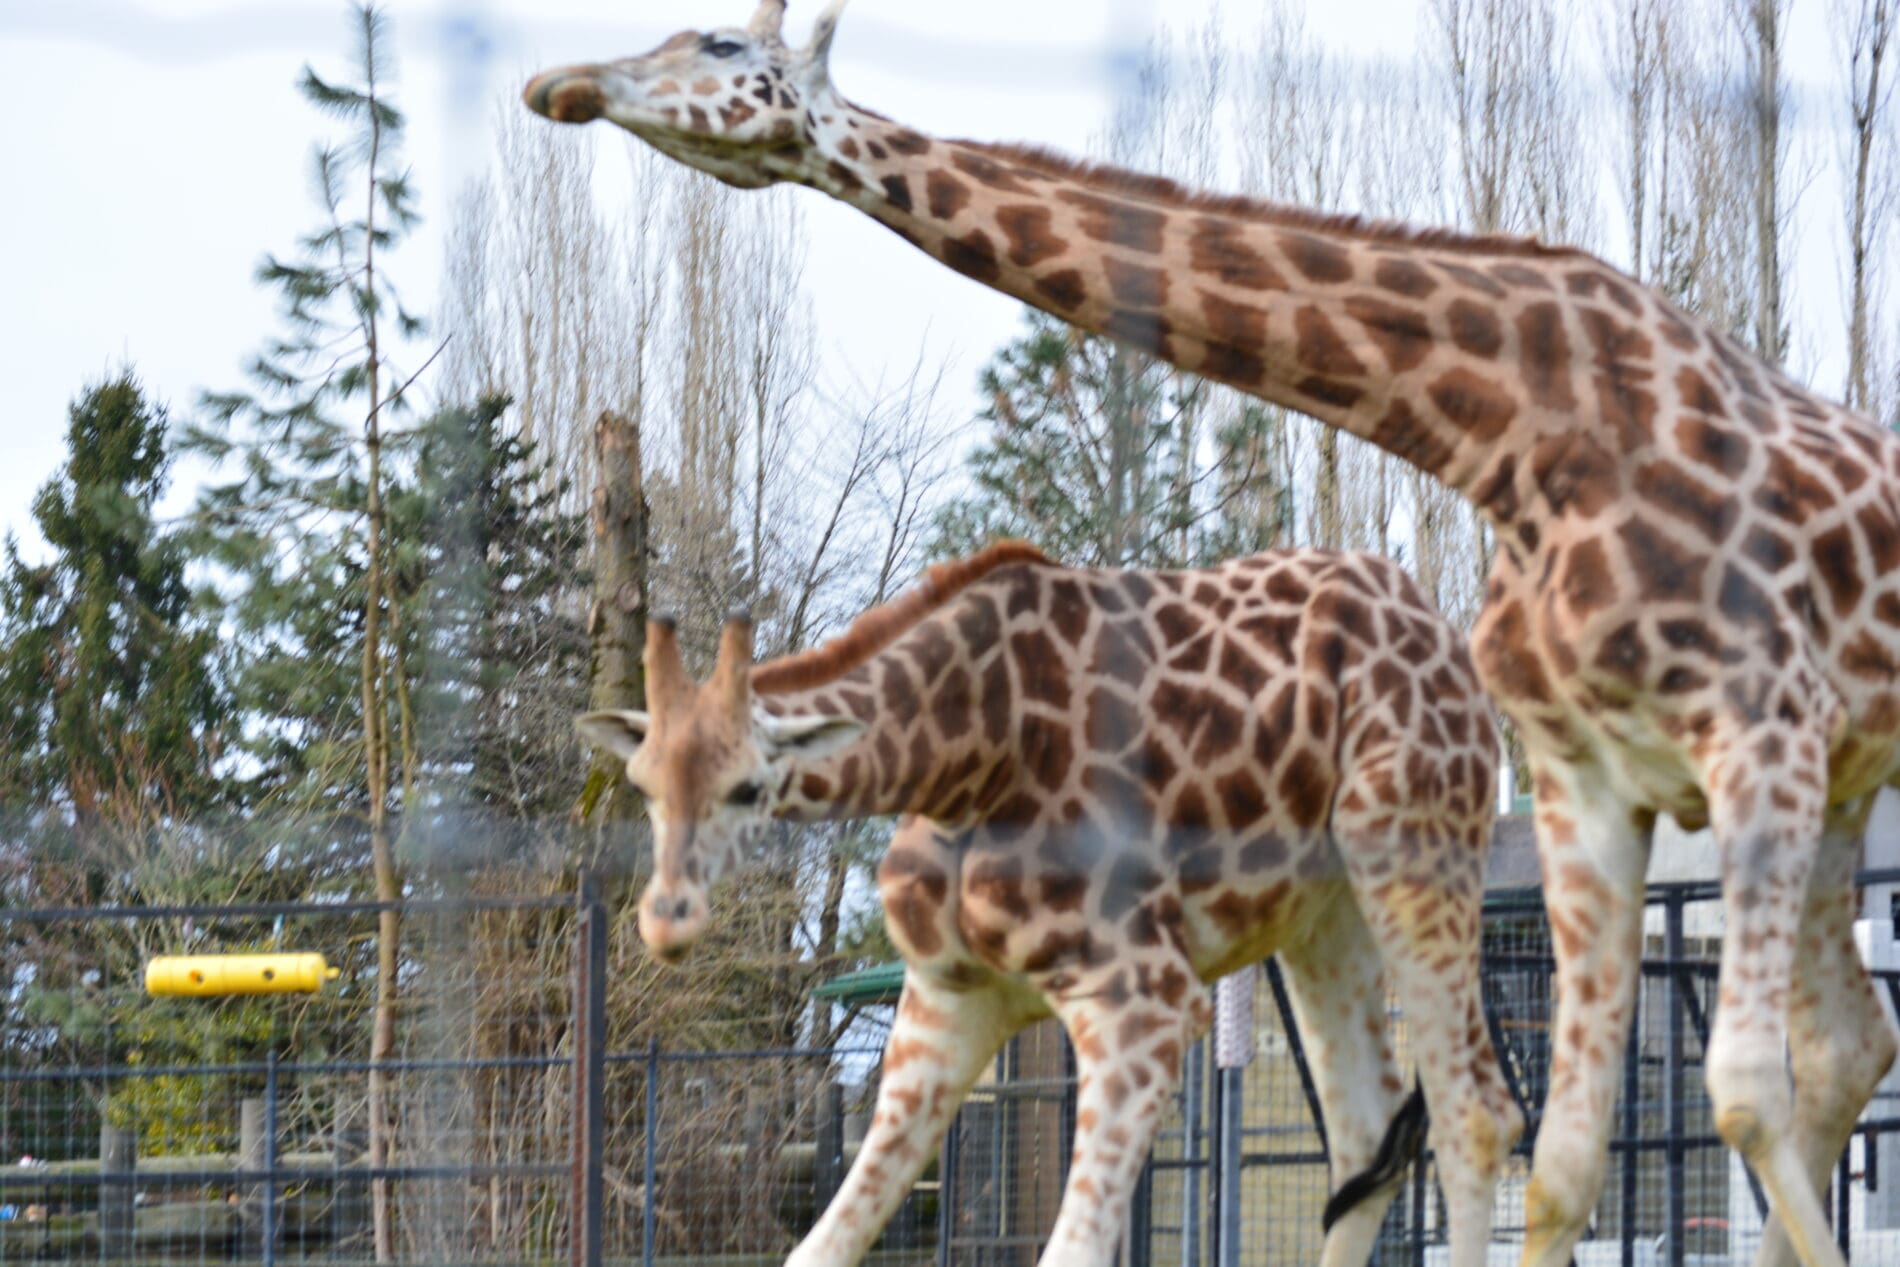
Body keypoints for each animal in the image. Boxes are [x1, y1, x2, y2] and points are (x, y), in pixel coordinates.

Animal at [570, 543, 1520, 1267]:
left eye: (748, 787)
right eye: (641, 783)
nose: (666, 920)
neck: (969, 753)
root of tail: (1438, 623)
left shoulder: (1145, 996)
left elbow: (1072, 1250)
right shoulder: (946, 998)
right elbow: (816, 1247)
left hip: (1411, 839)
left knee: (1477, 1112)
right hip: (1325, 912)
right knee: (1366, 1131)